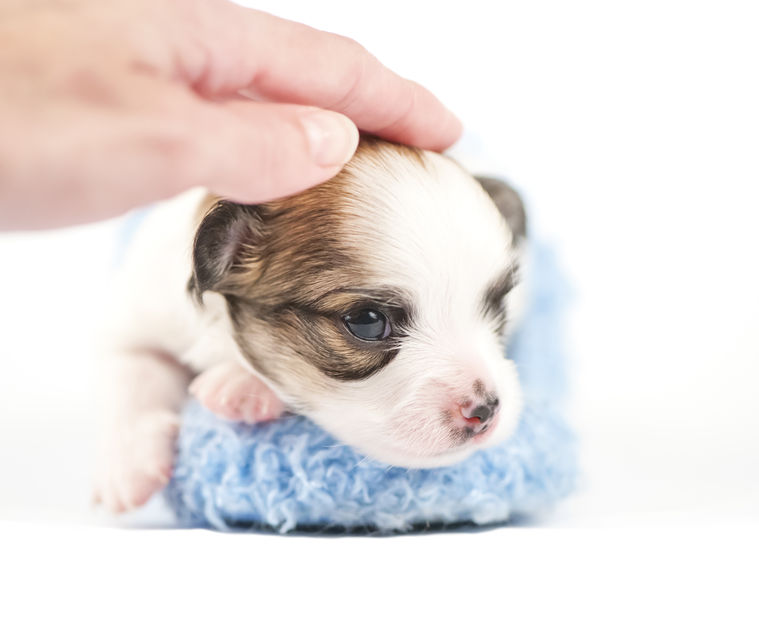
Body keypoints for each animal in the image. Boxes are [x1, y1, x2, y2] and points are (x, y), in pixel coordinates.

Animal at [93, 136, 528, 512]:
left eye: (496, 304)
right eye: (367, 322)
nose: (486, 410)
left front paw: (240, 384)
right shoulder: (143, 318)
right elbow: (133, 373)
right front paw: (128, 468)